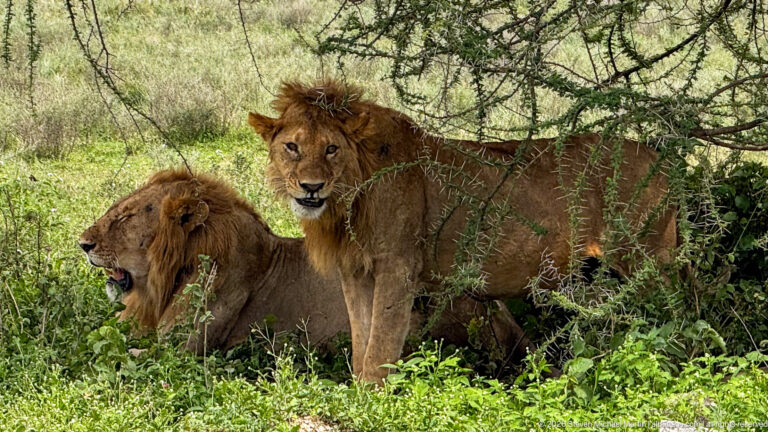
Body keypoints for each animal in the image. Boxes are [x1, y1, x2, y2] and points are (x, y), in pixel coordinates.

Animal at [248, 80, 677, 383]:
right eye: (291, 147)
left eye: (331, 149)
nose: (311, 187)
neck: (347, 202)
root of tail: (661, 157)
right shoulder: (355, 271)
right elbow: (360, 339)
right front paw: (357, 389)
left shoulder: (398, 267)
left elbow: (382, 343)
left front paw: (372, 398)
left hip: (649, 262)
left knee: (677, 315)